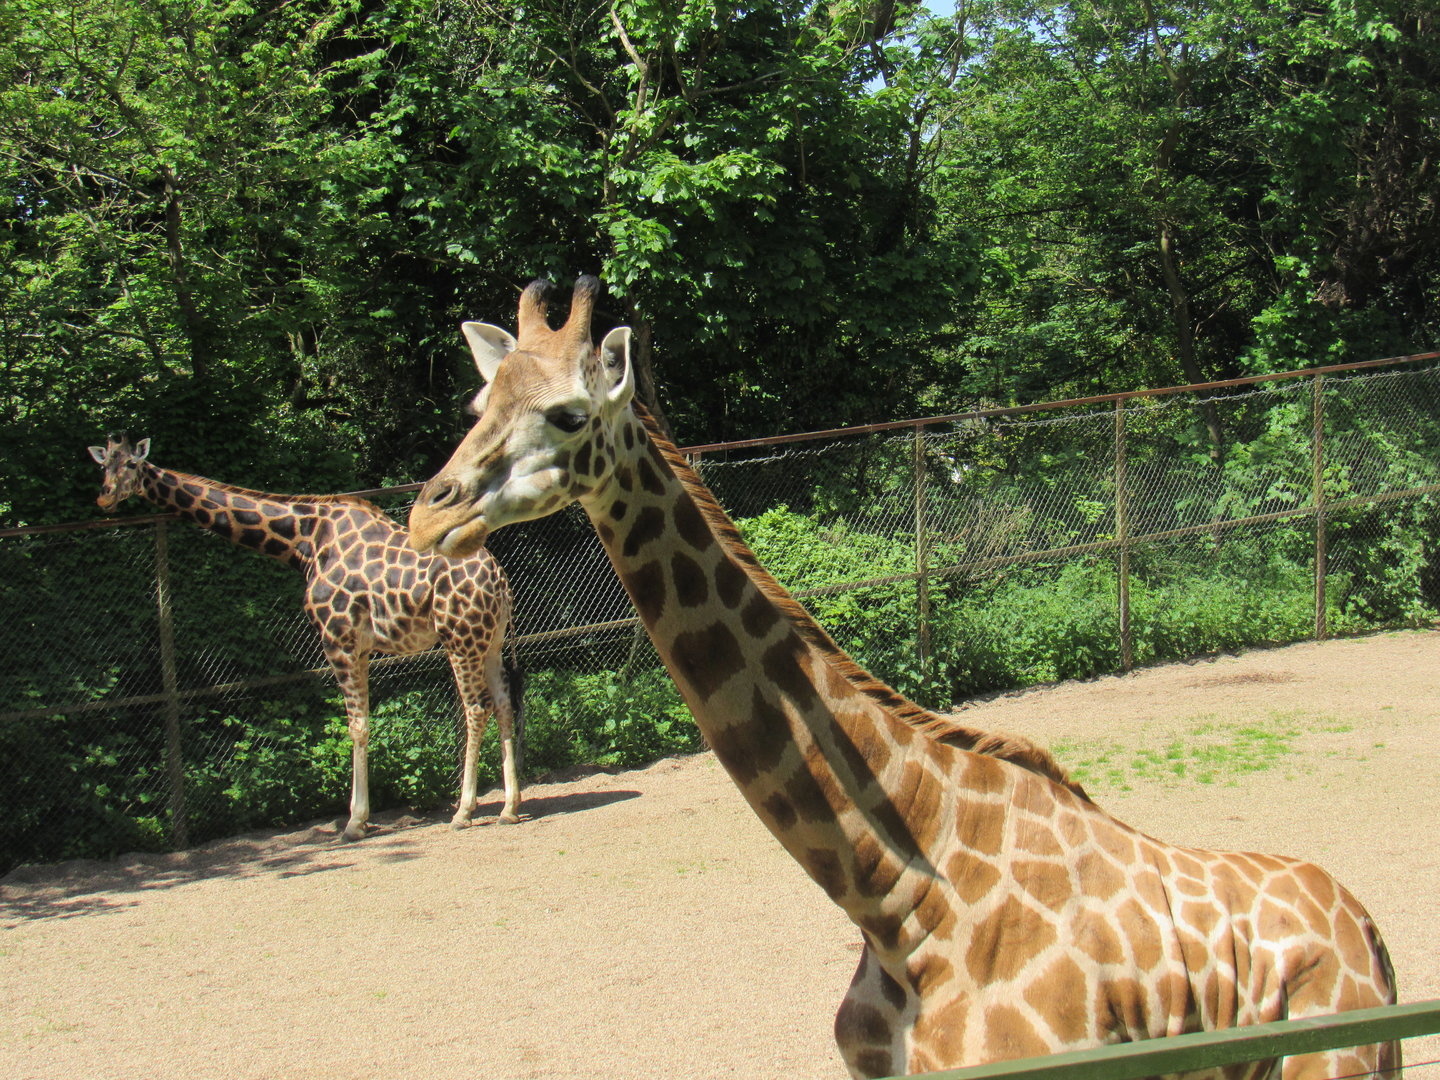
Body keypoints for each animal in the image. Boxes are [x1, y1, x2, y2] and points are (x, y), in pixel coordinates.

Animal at [90, 433, 522, 841]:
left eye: (131, 464)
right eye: (104, 465)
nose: (105, 496)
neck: (305, 540)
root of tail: (499, 583)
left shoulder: (337, 639)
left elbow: (357, 724)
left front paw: (355, 822)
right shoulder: (361, 648)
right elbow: (363, 721)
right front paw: (360, 818)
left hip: (459, 638)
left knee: (476, 707)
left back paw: (463, 812)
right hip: (490, 642)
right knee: (502, 704)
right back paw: (509, 807)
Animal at [407, 278, 1398, 1080]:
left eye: (568, 415)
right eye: (479, 397)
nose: (427, 516)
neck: (902, 904)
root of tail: (1370, 931)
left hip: (1335, 1062)